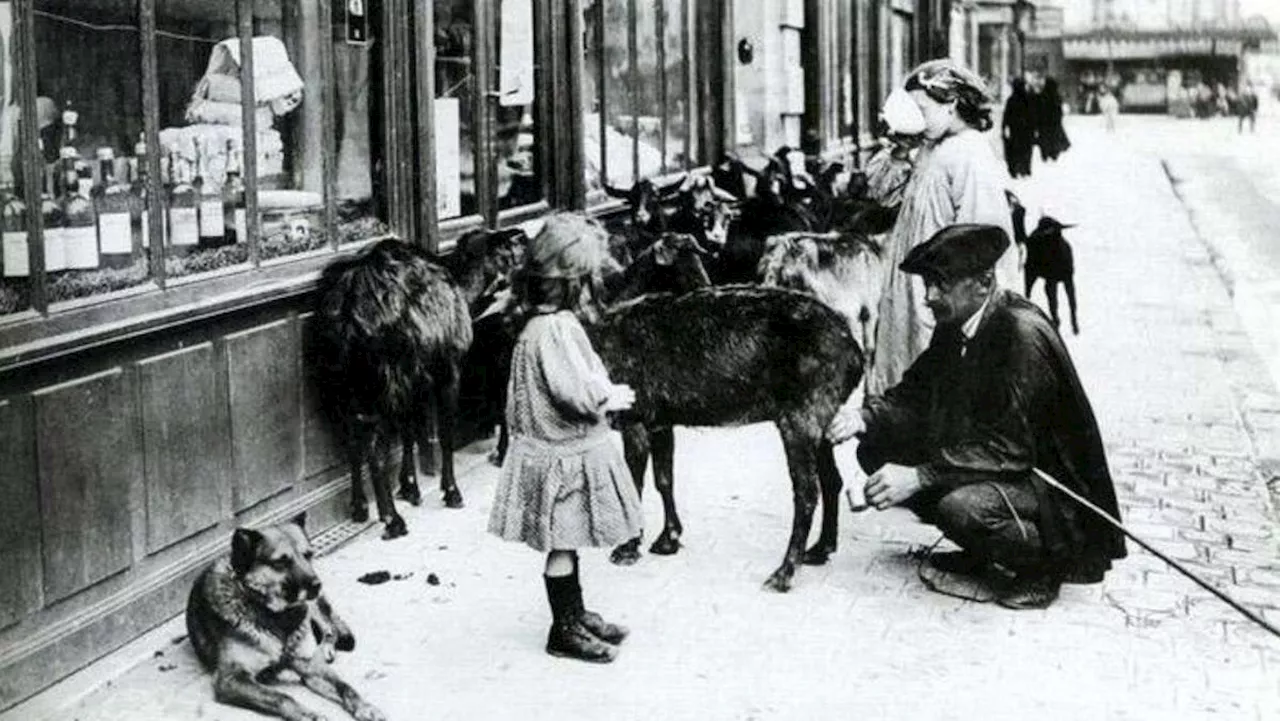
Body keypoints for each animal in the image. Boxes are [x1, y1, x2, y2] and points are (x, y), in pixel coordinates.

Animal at [185, 517, 384, 721]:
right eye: (281, 562)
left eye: (308, 555)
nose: (317, 585)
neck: (276, 615)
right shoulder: (230, 678)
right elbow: (281, 697)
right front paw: (310, 715)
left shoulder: (308, 666)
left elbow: (344, 686)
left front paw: (364, 705)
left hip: (313, 607)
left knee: (330, 628)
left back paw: (325, 648)